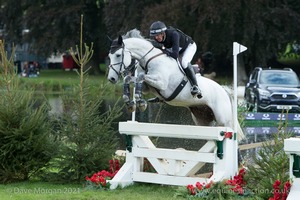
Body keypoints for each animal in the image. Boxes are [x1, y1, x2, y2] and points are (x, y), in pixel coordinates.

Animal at [107, 29, 244, 140]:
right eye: (109, 56)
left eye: (118, 55)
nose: (111, 79)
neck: (150, 59)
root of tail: (225, 91)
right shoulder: (148, 87)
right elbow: (130, 79)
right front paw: (130, 102)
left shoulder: (162, 84)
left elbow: (140, 77)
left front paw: (140, 102)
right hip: (202, 118)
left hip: (224, 120)